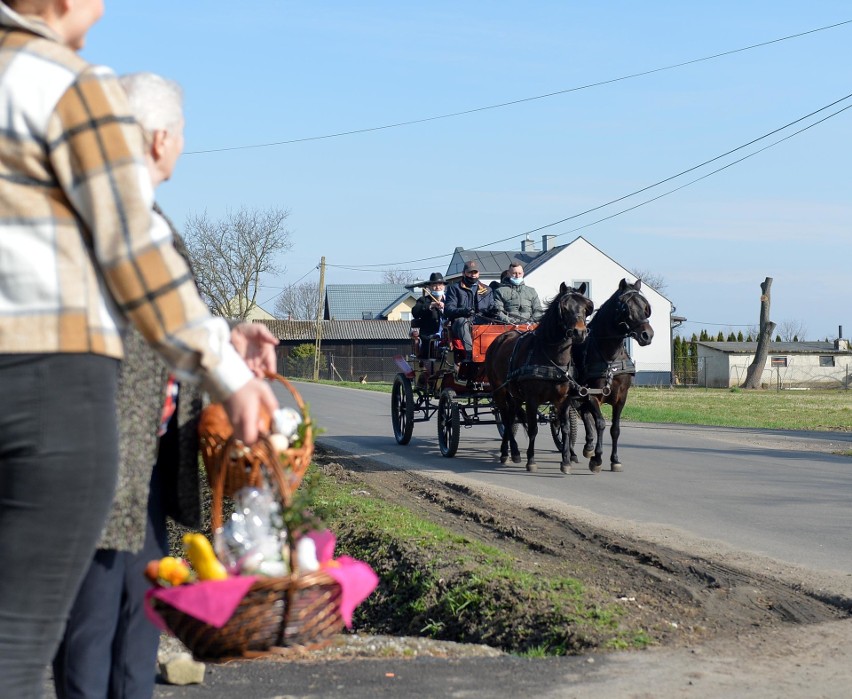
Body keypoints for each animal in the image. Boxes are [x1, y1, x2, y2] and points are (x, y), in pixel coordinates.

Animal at [482, 282, 596, 474]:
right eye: (564, 308)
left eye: (586, 308)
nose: (579, 333)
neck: (551, 358)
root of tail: (500, 338)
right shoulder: (532, 399)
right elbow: (533, 429)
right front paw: (531, 460)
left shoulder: (563, 400)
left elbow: (565, 428)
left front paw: (566, 461)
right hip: (499, 391)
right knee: (505, 417)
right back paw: (507, 453)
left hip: (514, 394)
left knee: (510, 416)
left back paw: (512, 452)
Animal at [568, 278, 656, 470]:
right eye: (626, 307)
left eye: (645, 306)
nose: (647, 335)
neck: (609, 358)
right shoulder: (592, 395)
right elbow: (600, 423)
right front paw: (597, 458)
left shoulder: (621, 397)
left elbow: (615, 429)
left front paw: (614, 459)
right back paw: (573, 453)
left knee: (584, 415)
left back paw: (588, 446)